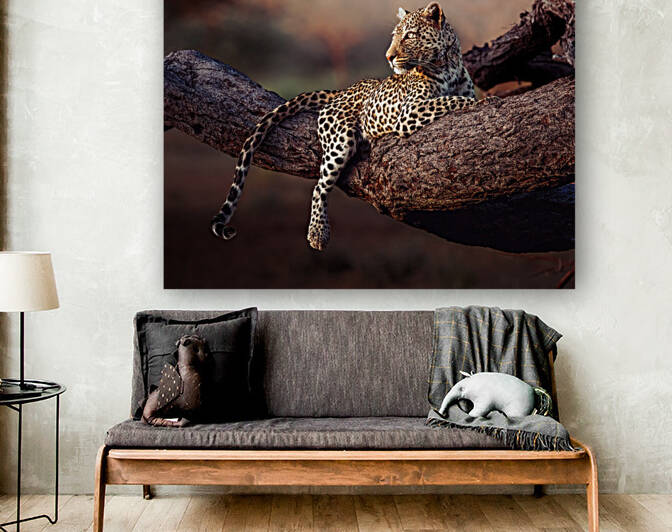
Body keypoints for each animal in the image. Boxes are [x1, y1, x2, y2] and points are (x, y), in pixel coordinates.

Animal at [211, 2, 479, 251]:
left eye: (410, 35)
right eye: (395, 35)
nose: (389, 57)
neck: (448, 66)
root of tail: (342, 91)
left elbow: (454, 97)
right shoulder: (409, 113)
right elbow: (450, 100)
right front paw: (483, 102)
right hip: (340, 142)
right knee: (319, 187)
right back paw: (318, 233)